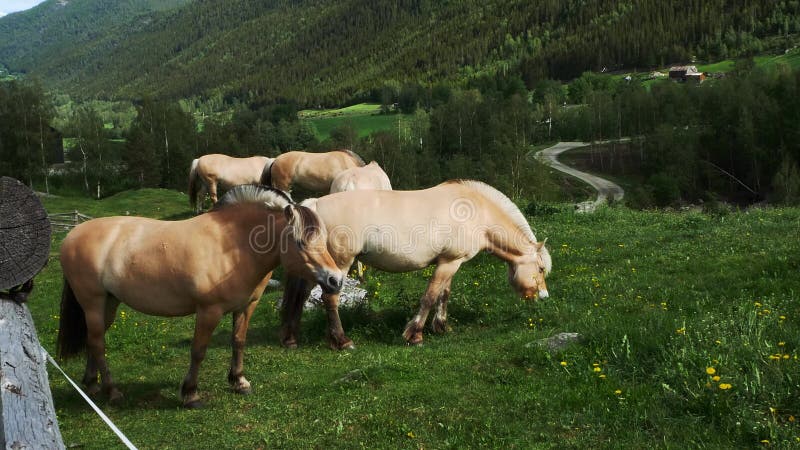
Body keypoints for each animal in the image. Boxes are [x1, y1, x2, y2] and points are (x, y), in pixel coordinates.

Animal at [55, 185, 344, 406]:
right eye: (300, 242)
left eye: (322, 238)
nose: (336, 279)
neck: (234, 246)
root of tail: (72, 235)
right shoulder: (209, 311)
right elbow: (198, 350)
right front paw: (190, 394)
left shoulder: (246, 307)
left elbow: (238, 341)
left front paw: (239, 382)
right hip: (92, 303)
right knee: (98, 343)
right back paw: (112, 391)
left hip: (109, 303)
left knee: (93, 340)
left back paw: (92, 385)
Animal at [280, 179, 552, 348]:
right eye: (540, 269)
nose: (543, 296)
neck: (475, 211)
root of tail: (315, 204)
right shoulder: (448, 263)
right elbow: (430, 297)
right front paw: (414, 334)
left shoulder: (450, 262)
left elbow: (444, 294)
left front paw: (441, 327)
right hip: (339, 266)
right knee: (330, 299)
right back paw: (342, 341)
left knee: (300, 297)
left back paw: (292, 338)